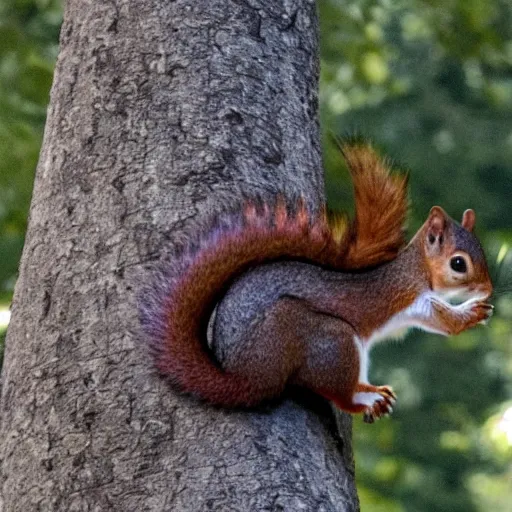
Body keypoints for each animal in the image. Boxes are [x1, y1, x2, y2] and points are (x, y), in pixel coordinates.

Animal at [139, 142, 492, 422]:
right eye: (458, 263)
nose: (488, 289)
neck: (416, 269)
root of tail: (246, 379)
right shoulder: (406, 294)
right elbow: (443, 320)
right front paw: (473, 312)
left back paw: (370, 389)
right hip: (328, 339)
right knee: (335, 392)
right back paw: (361, 401)